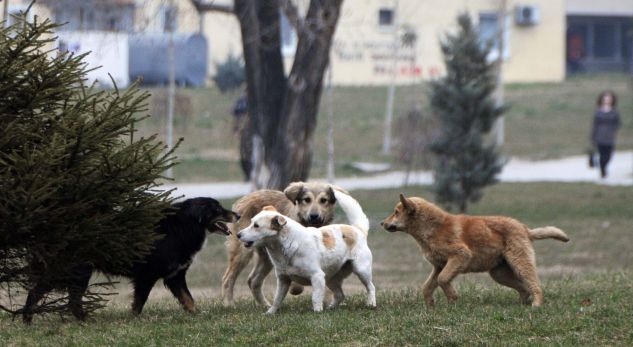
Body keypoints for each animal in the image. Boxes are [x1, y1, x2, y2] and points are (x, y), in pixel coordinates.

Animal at [23, 198, 238, 324]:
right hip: (75, 272)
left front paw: (197, 315)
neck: (182, 226)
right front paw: (133, 320)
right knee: (54, 296)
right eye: (218, 209)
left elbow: (188, 299)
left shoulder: (174, 276)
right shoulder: (146, 277)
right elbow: (139, 303)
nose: (237, 214)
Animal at [237, 190, 376, 316]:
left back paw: (371, 304)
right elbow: (277, 299)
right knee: (340, 295)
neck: (287, 246)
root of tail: (358, 229)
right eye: (251, 222)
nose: (238, 235)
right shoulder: (283, 280)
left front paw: (317, 312)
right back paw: (331, 308)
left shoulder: (317, 277)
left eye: (256, 225)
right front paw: (270, 313)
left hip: (361, 270)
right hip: (331, 278)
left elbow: (315, 298)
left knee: (371, 287)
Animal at [380, 194, 568, 308]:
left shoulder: (460, 255)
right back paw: (522, 303)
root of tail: (525, 229)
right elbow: (427, 287)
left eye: (396, 212)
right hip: (499, 273)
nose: (381, 223)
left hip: (519, 262)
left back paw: (536, 304)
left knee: (534, 284)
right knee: (524, 288)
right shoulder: (439, 266)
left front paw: (453, 299)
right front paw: (431, 306)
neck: (432, 228)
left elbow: (442, 280)